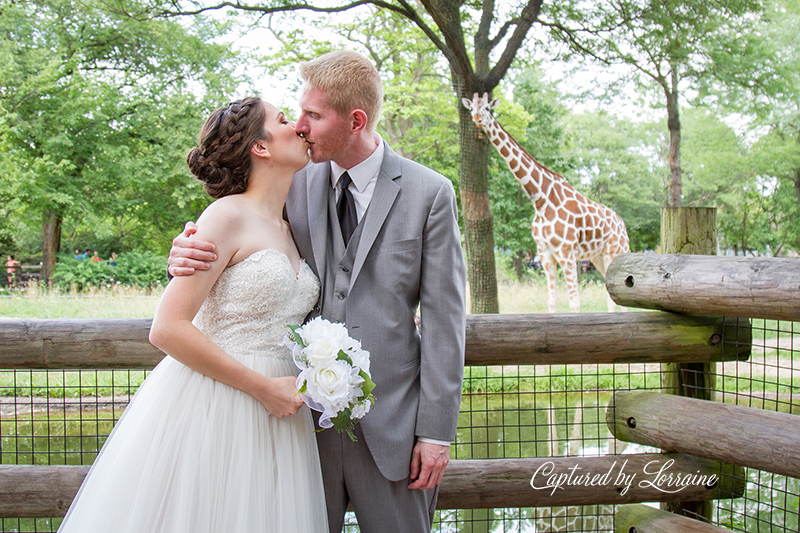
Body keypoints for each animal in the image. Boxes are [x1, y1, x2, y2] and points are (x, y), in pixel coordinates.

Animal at [462, 92, 632, 312]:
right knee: (612, 296)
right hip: (598, 256)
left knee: (619, 300)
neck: (542, 200)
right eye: (471, 108)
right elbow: (551, 302)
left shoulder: (566, 252)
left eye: (488, 108)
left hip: (616, 251)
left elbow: (574, 304)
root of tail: (622, 224)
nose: (477, 119)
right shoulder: (545, 254)